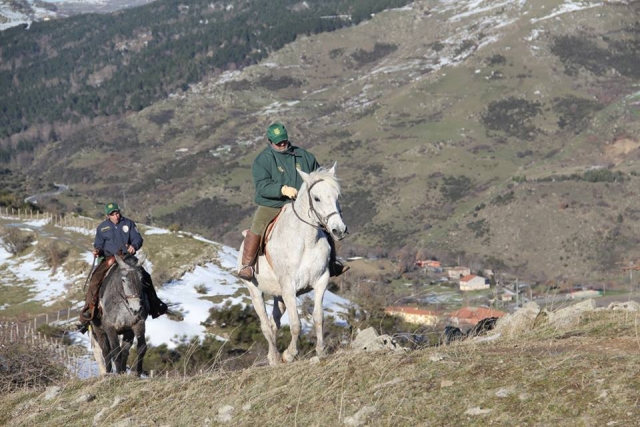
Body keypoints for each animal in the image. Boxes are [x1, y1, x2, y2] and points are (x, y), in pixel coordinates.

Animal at [238, 164, 348, 366]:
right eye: (317, 198)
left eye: (337, 196)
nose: (339, 230)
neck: (306, 241)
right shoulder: (289, 287)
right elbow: (296, 324)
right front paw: (289, 354)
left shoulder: (321, 282)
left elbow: (318, 318)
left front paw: (320, 351)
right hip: (254, 290)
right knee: (265, 325)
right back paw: (274, 358)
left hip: (279, 296)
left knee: (274, 323)